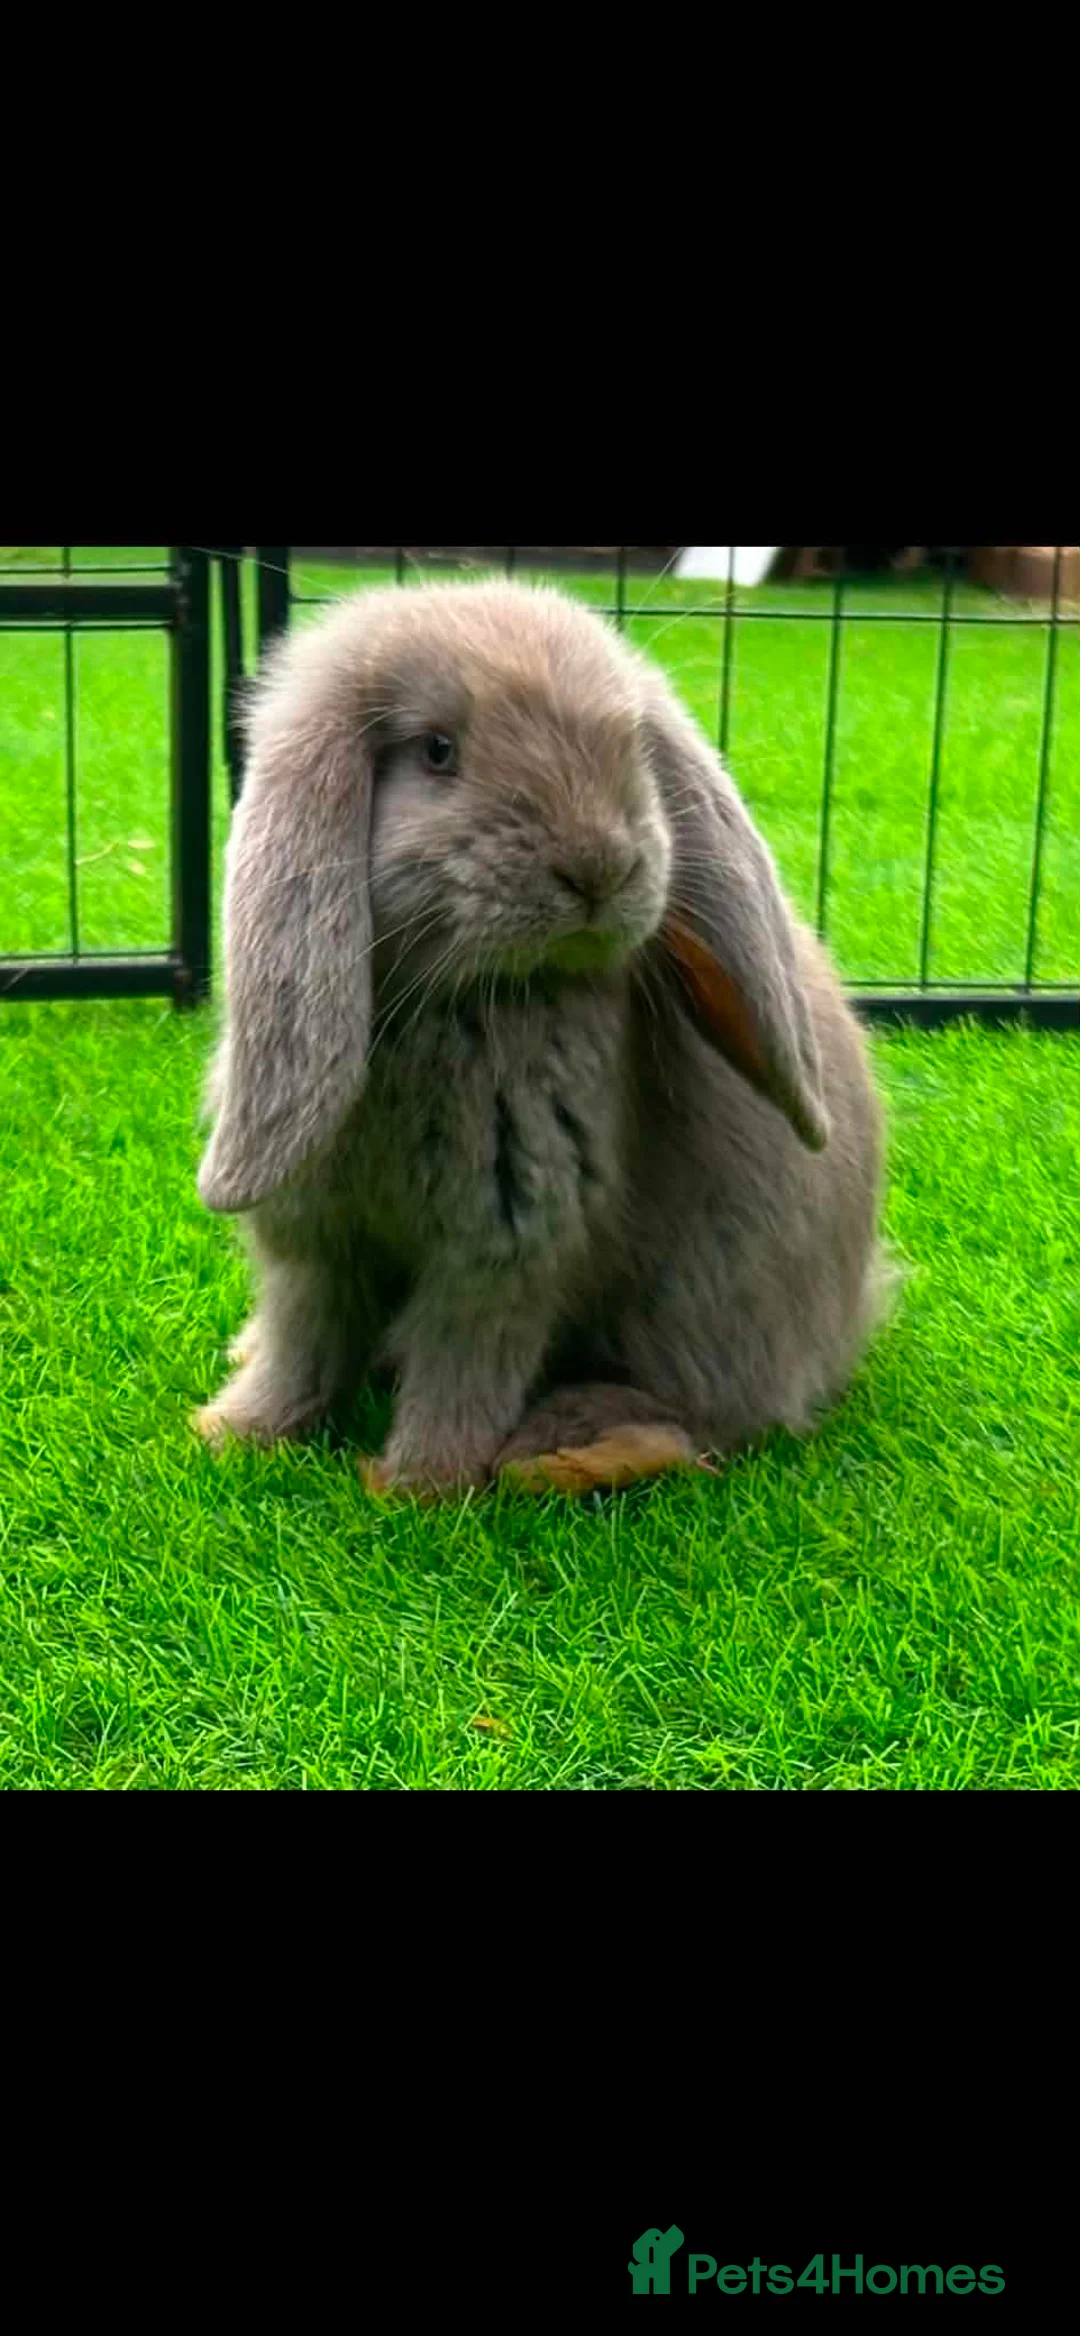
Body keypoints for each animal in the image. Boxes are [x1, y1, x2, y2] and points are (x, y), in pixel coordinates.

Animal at [193, 578, 886, 1498]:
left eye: (632, 746)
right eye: (438, 751)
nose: (598, 868)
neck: (455, 1006)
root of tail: (845, 1325)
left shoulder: (507, 1249)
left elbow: (463, 1368)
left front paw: (416, 1487)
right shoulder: (314, 1245)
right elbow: (301, 1348)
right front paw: (232, 1434)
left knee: (708, 1423)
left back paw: (563, 1451)